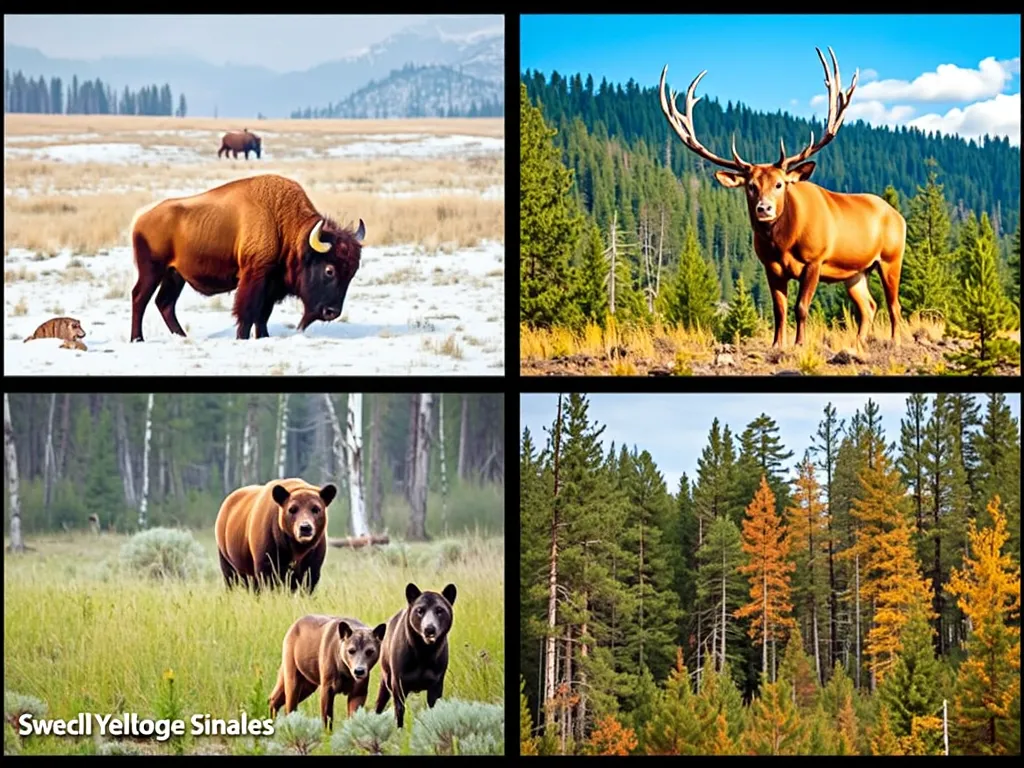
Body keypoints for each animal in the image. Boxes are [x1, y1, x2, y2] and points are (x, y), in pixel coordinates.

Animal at [375, 582, 457, 728]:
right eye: (420, 610)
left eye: (439, 610)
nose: (429, 628)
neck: (424, 652)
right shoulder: (398, 683)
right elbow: (399, 711)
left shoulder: (436, 683)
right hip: (385, 679)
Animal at [659, 47, 906, 349]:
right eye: (751, 186)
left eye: (779, 184)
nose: (764, 209)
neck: (784, 243)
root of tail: (897, 214)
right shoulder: (771, 267)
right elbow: (779, 309)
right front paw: (777, 344)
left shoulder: (815, 261)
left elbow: (801, 307)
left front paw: (799, 344)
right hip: (856, 272)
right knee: (868, 306)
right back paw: (856, 345)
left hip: (891, 257)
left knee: (894, 305)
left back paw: (895, 342)